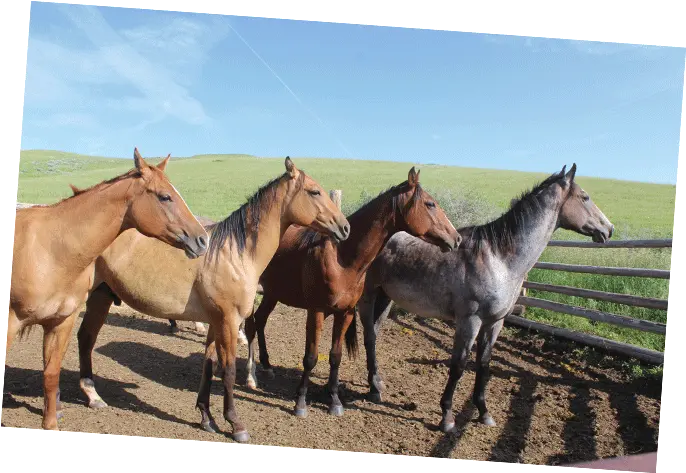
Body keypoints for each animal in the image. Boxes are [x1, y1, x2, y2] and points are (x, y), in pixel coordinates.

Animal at [7, 148, 210, 432]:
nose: (202, 240)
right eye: (165, 196)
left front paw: (51, 422)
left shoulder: (60, 323)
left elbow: (51, 374)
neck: (51, 249)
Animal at [78, 157, 352, 440]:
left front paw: (206, 417)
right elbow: (228, 370)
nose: (345, 227)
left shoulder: (214, 322)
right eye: (314, 191)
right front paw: (235, 423)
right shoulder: (228, 321)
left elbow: (208, 366)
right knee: (84, 339)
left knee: (85, 338)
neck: (233, 254)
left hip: (100, 298)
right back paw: (92, 395)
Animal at [245, 167, 464, 416]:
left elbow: (335, 356)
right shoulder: (316, 312)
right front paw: (300, 402)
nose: (456, 238)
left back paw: (267, 365)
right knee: (252, 324)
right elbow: (310, 357)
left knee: (261, 320)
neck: (341, 259)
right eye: (430, 204)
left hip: (272, 293)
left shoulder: (346, 313)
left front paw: (334, 400)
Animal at [358, 163, 616, 432]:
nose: (609, 229)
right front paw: (447, 416)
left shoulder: (495, 322)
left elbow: (483, 363)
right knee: (369, 336)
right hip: (368, 296)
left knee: (375, 334)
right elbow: (459, 365)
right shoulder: (470, 321)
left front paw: (484, 412)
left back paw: (377, 382)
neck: (498, 258)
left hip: (385, 298)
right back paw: (373, 389)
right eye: (585, 197)